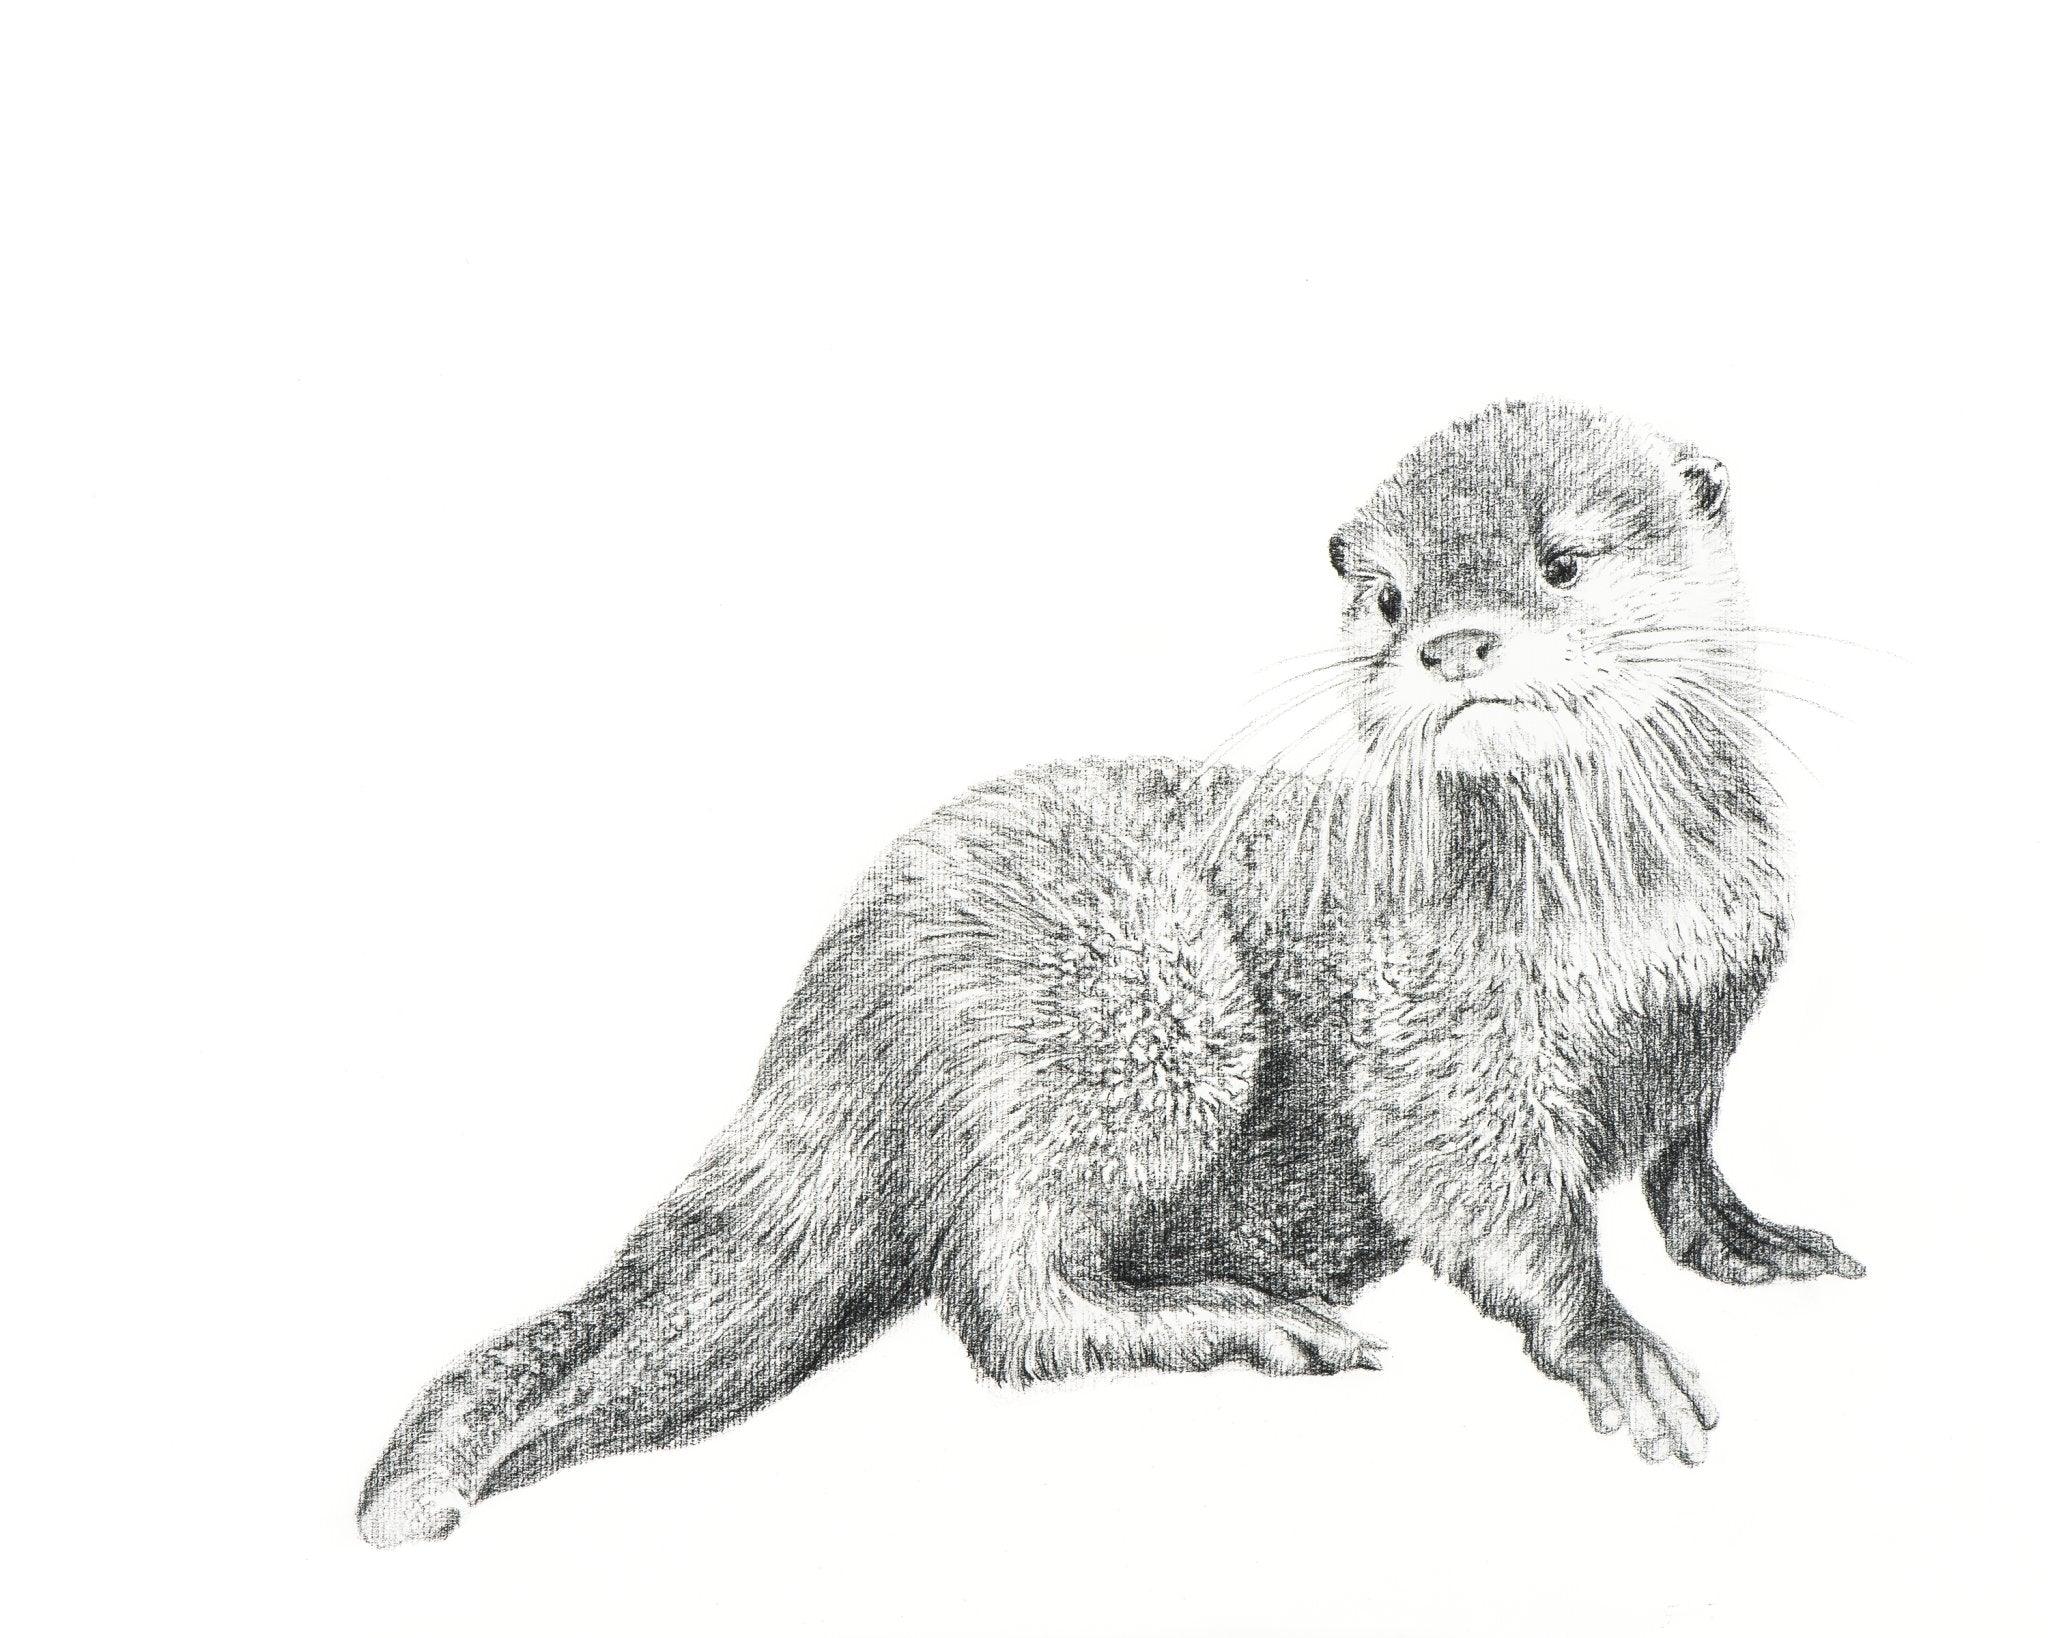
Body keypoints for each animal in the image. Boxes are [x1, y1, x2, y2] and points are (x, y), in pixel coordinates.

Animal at [357, 398, 1863, 1548]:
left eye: (1563, 562)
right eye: (1387, 598)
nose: (1451, 642)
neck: (1627, 924)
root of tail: (839, 996)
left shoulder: (1707, 1021)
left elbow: (1684, 1150)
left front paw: (1754, 1238)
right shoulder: (1440, 1036)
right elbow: (1489, 1203)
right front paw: (1614, 1343)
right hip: (1133, 1002)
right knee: (1004, 1300)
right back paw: (1249, 1321)